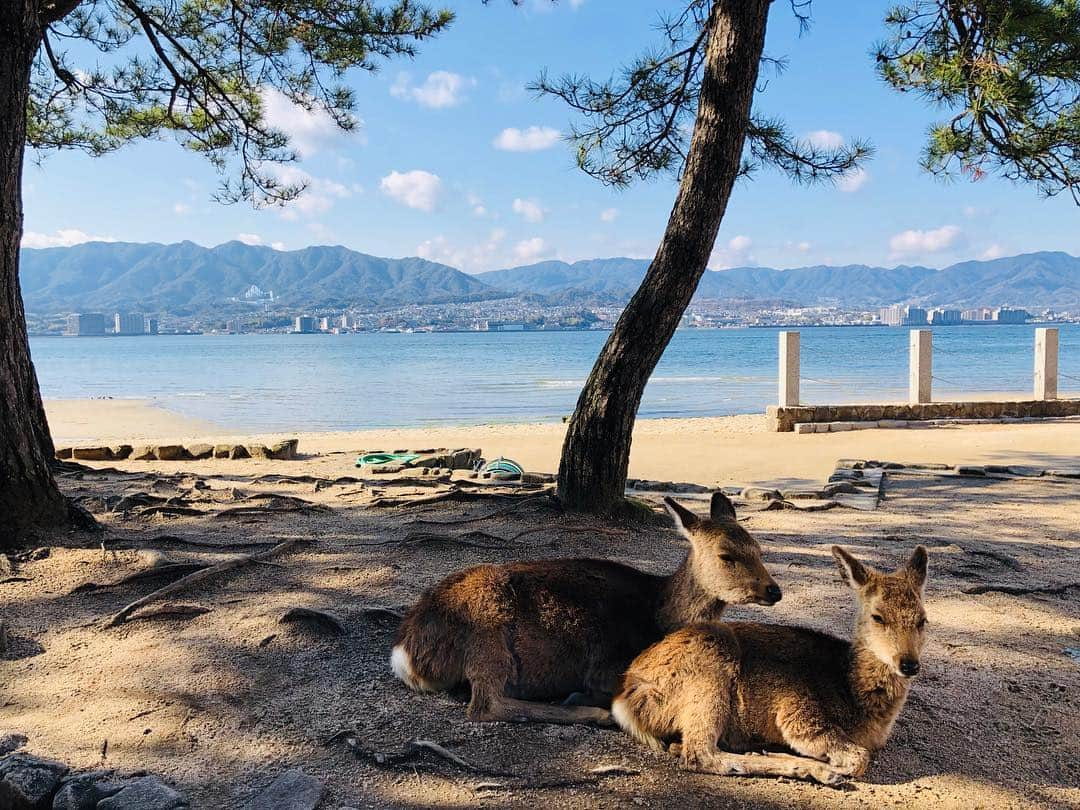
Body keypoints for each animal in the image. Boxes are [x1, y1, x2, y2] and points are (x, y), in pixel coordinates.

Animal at [393, 494, 781, 730]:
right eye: (726, 555)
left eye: (759, 548)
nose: (773, 590)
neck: (659, 616)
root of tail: (404, 654)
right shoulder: (608, 664)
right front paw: (587, 697)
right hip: (486, 630)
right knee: (485, 706)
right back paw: (590, 710)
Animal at [613, 546, 933, 786]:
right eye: (877, 617)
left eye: (922, 619)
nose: (908, 664)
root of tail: (625, 699)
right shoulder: (798, 714)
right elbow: (858, 758)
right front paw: (824, 766)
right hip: (707, 674)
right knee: (699, 753)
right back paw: (810, 769)